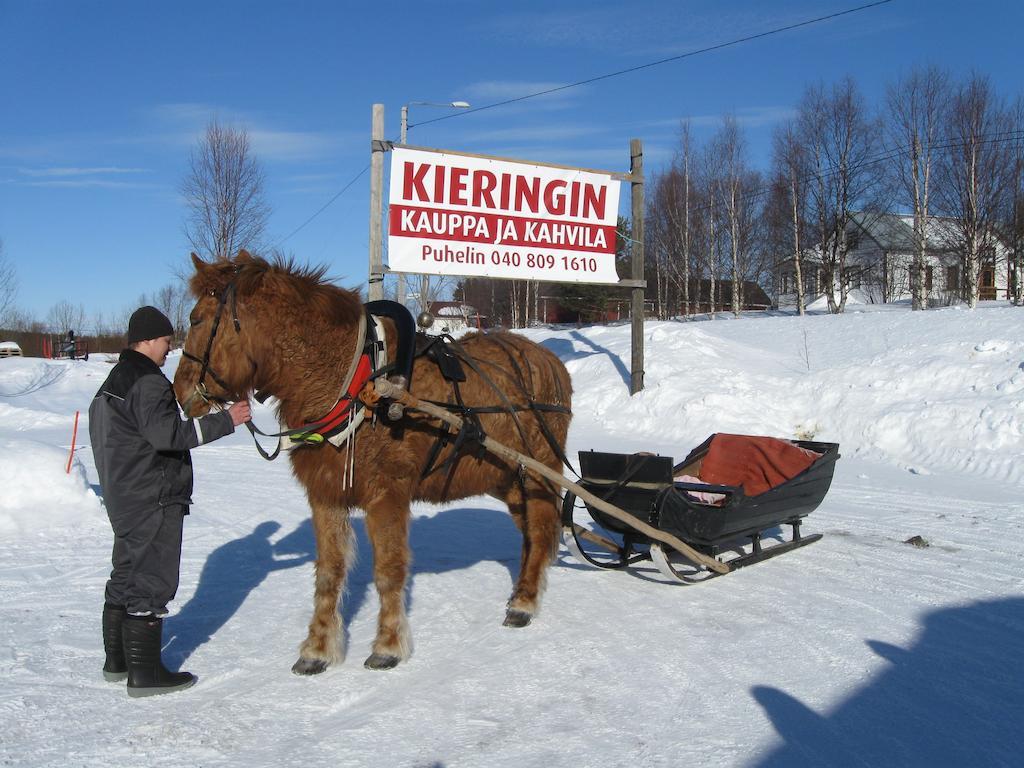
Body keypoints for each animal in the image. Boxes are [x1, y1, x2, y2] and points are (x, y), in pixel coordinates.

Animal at [176, 250, 577, 671]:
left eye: (196, 319)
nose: (181, 392)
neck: (356, 381)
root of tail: (552, 363)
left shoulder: (387, 494)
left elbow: (388, 569)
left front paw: (387, 644)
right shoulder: (326, 494)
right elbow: (329, 573)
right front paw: (317, 648)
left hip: (538, 470)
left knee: (541, 527)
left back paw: (524, 603)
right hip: (506, 476)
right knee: (531, 532)